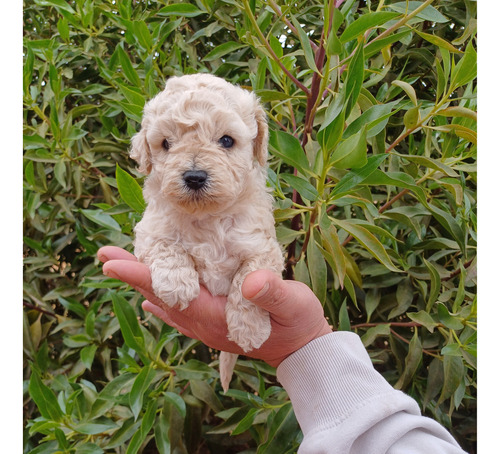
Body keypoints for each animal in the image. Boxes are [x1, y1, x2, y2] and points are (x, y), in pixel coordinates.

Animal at [129, 74, 284, 390]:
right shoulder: (150, 231)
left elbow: (247, 280)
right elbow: (167, 245)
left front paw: (250, 330)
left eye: (226, 140)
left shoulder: (263, 247)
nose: (194, 177)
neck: (208, 217)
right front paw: (176, 284)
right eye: (166, 143)